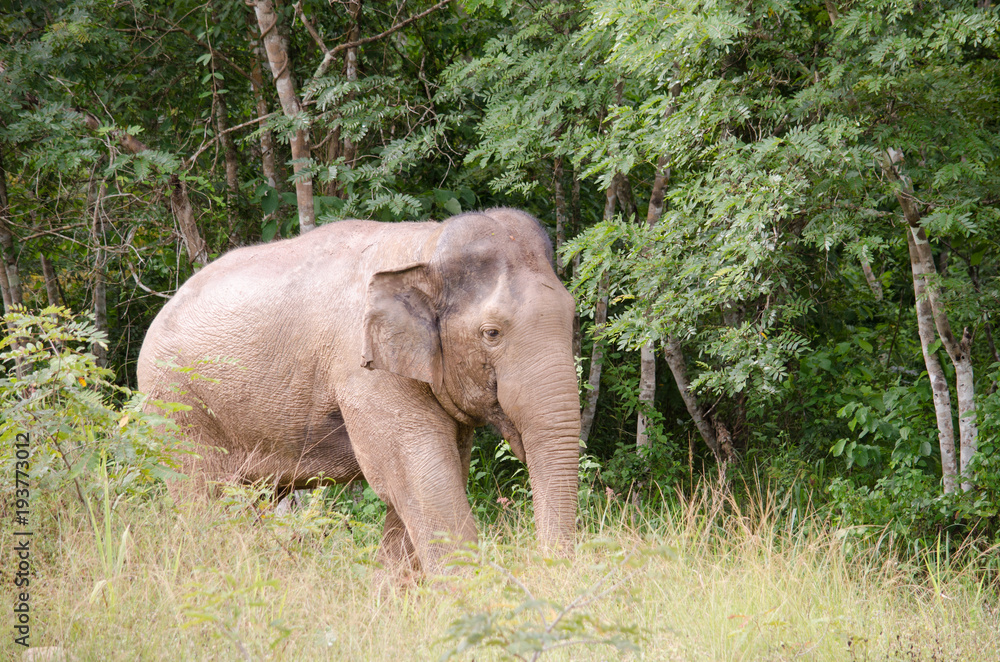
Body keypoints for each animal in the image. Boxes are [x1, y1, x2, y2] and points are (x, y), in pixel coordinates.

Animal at [137, 207, 581, 574]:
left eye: (572, 315)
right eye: (491, 333)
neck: (425, 244)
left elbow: (433, 474)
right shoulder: (365, 371)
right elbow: (419, 477)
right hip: (176, 405)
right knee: (205, 498)